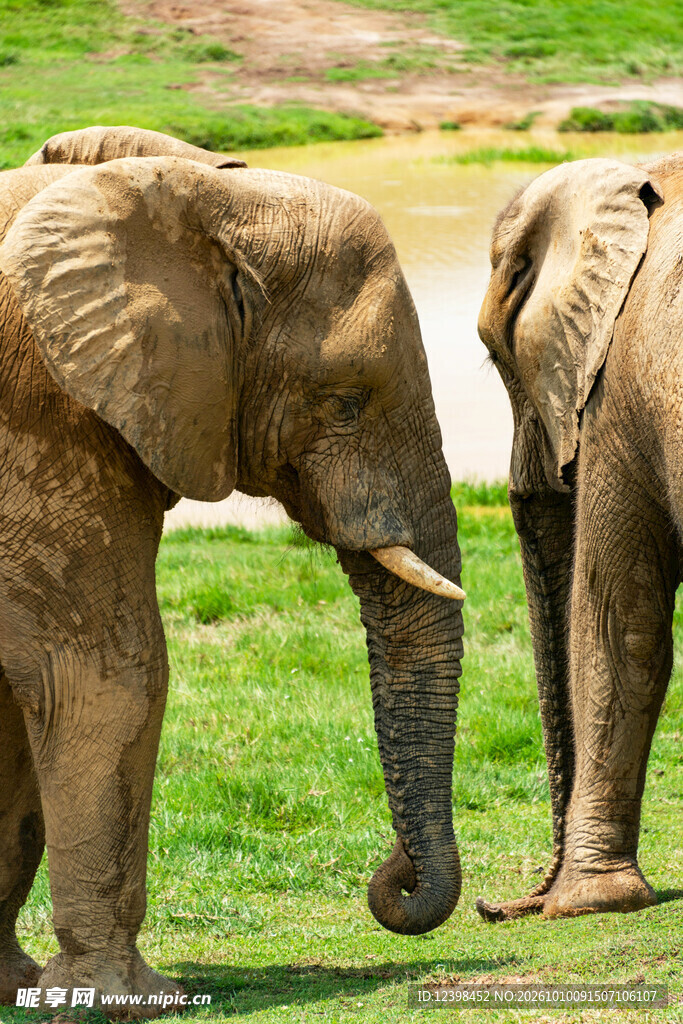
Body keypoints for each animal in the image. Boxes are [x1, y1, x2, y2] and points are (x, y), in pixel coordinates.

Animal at [0, 127, 465, 1013]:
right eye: (345, 402)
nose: (391, 876)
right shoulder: (37, 415)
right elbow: (104, 670)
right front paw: (123, 1001)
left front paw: (21, 987)